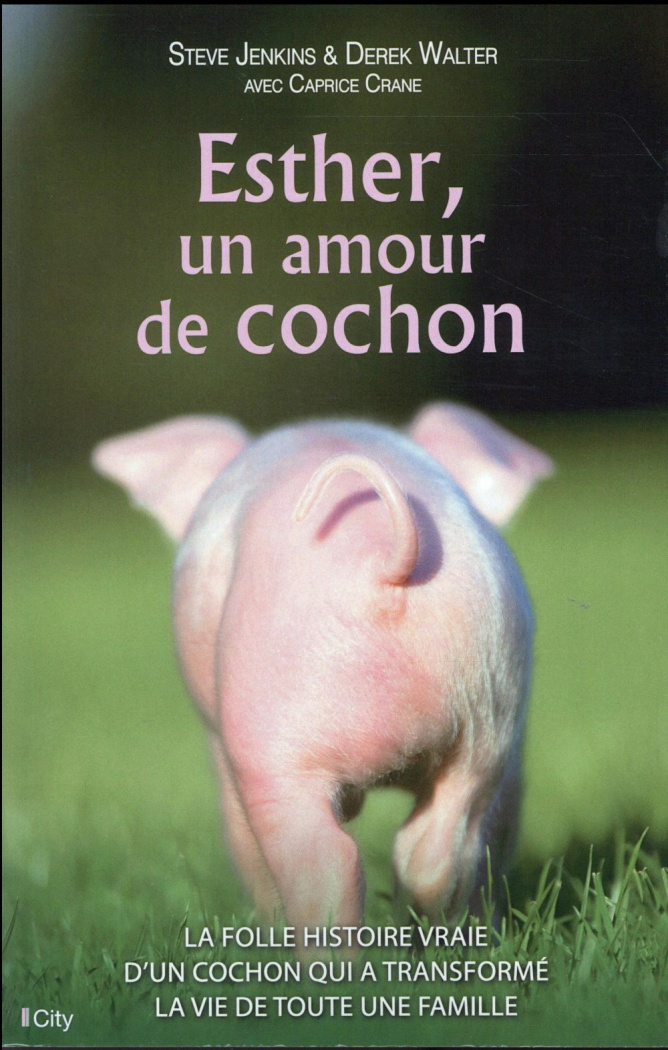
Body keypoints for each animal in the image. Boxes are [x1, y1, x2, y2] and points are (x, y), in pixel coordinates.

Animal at [92, 403, 553, 937]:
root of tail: (386, 559)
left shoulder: (220, 742)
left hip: (274, 736)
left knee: (324, 861)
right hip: (490, 712)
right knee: (441, 851)